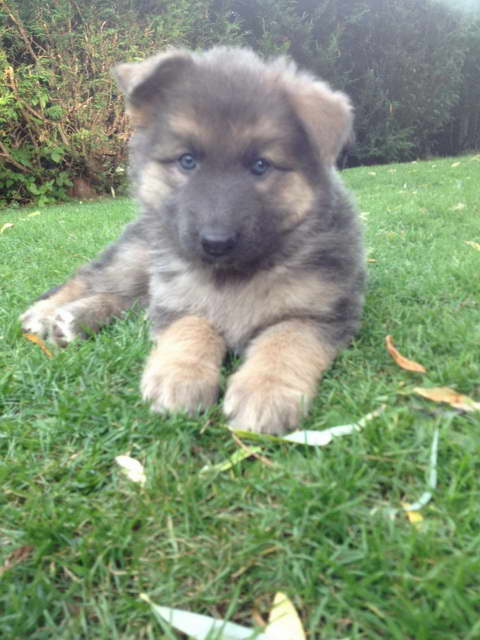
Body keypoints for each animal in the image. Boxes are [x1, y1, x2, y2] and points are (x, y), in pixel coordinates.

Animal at [18, 46, 364, 436]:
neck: (235, 276)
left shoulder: (320, 313)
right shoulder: (178, 300)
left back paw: (73, 320)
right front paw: (180, 376)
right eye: (187, 161)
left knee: (127, 299)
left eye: (260, 166)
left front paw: (266, 391)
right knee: (91, 278)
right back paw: (46, 313)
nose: (216, 242)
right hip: (138, 256)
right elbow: (193, 328)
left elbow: (285, 342)